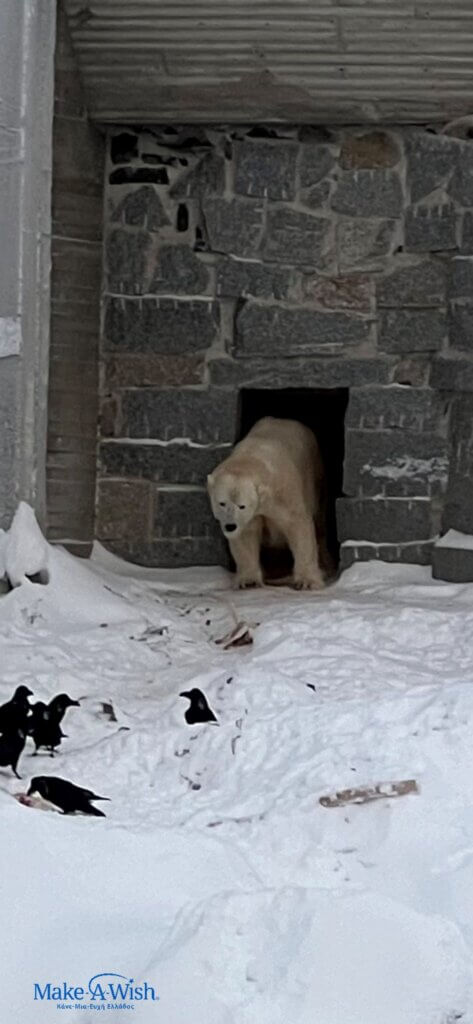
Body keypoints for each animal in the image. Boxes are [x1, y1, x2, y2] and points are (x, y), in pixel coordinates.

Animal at [207, 416, 329, 590]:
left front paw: (307, 581)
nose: (230, 526)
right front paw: (249, 581)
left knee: (320, 525)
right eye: (221, 503)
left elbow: (298, 528)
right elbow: (246, 536)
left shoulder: (284, 495)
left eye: (242, 506)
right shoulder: (252, 515)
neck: (252, 456)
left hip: (318, 480)